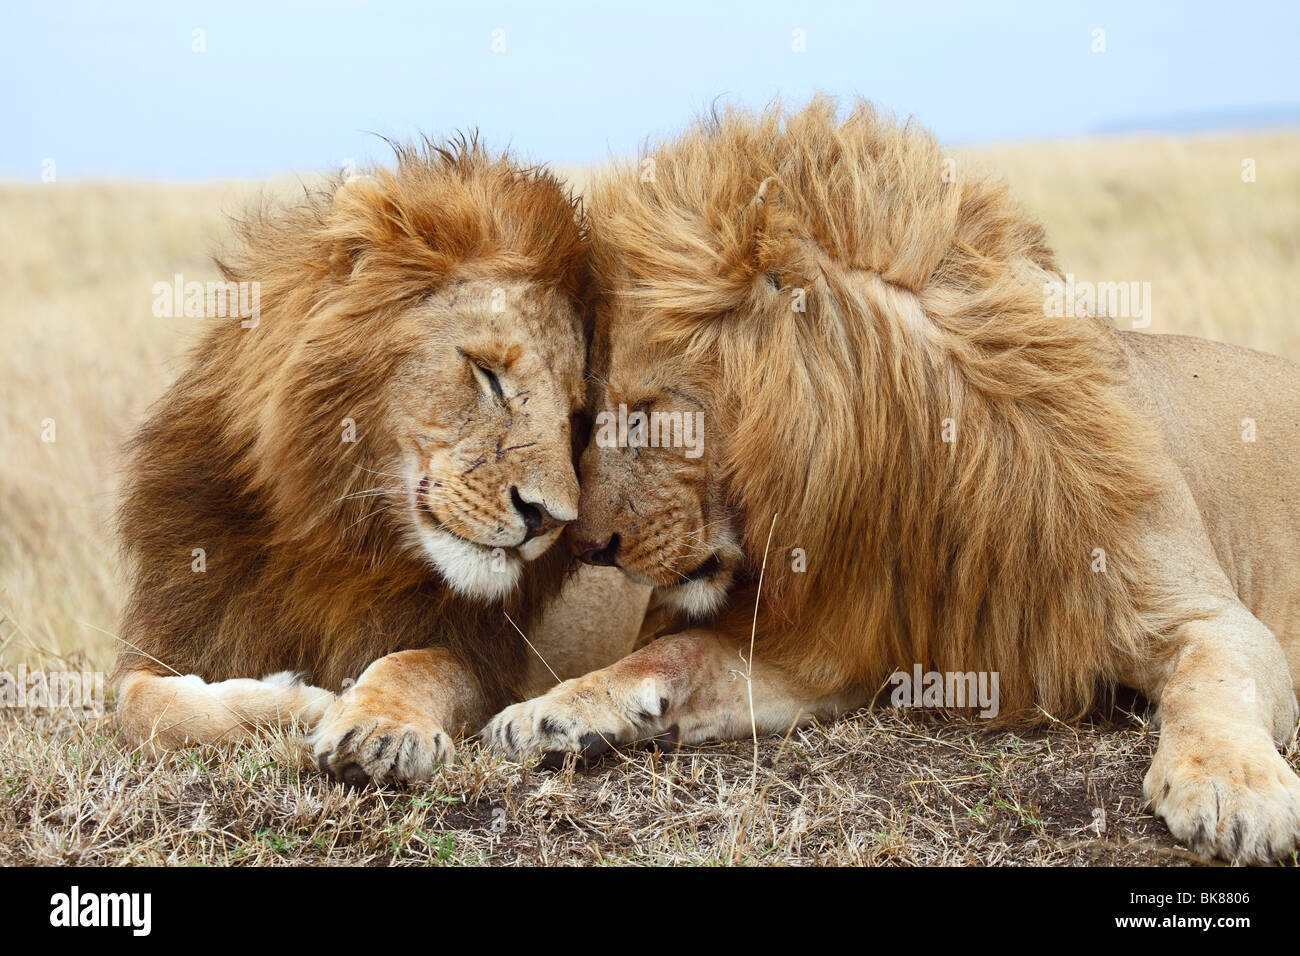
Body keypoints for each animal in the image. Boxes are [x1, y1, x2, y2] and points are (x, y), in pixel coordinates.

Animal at [114, 137, 646, 785]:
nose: (549, 518)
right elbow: (141, 705)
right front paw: (296, 702)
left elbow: (413, 664)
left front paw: (375, 727)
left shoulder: (483, 658)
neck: (336, 532)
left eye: (574, 416)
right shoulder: (178, 629)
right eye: (488, 374)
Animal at [484, 99, 1300, 864]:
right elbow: (677, 653)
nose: (586, 546)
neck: (913, 468)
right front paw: (551, 710)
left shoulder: (1203, 614)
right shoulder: (833, 647)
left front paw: (1232, 790)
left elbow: (1213, 683)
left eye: (649, 411)